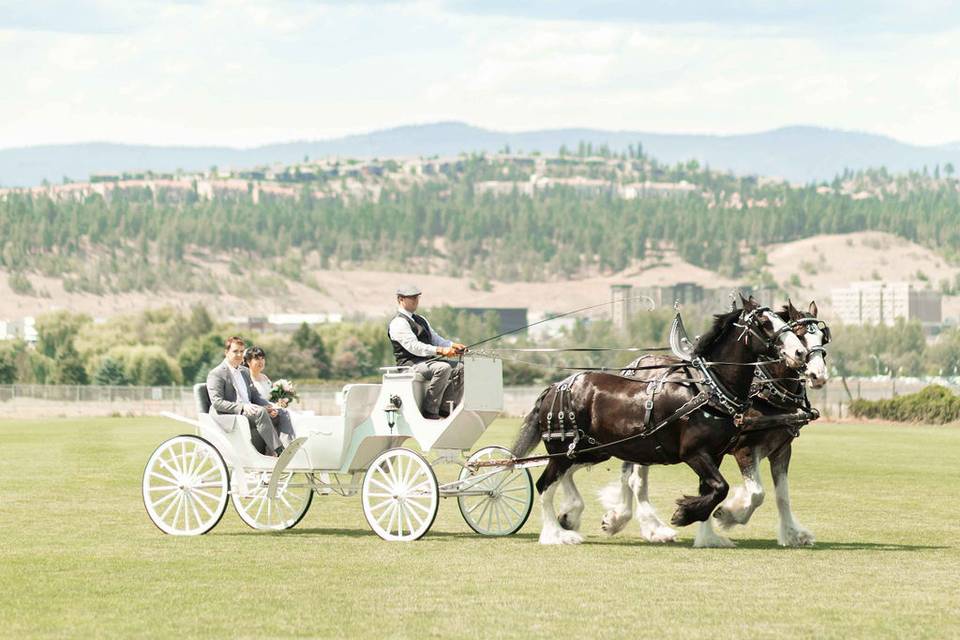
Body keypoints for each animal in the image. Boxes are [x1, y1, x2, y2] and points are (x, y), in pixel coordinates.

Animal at [512, 298, 808, 544]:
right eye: (764, 323)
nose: (800, 354)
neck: (708, 389)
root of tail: (555, 386)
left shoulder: (715, 454)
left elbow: (712, 492)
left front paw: (706, 532)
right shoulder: (695, 453)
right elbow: (720, 488)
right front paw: (685, 515)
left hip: (594, 450)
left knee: (567, 476)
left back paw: (572, 515)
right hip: (565, 450)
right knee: (545, 485)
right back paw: (555, 534)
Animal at [604, 302, 828, 548]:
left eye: (822, 337)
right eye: (800, 334)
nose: (818, 375)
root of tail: (634, 364)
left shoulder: (781, 449)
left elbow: (782, 495)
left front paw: (793, 534)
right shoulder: (744, 449)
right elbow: (756, 494)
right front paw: (729, 515)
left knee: (630, 476)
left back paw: (626, 521)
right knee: (635, 480)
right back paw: (644, 526)